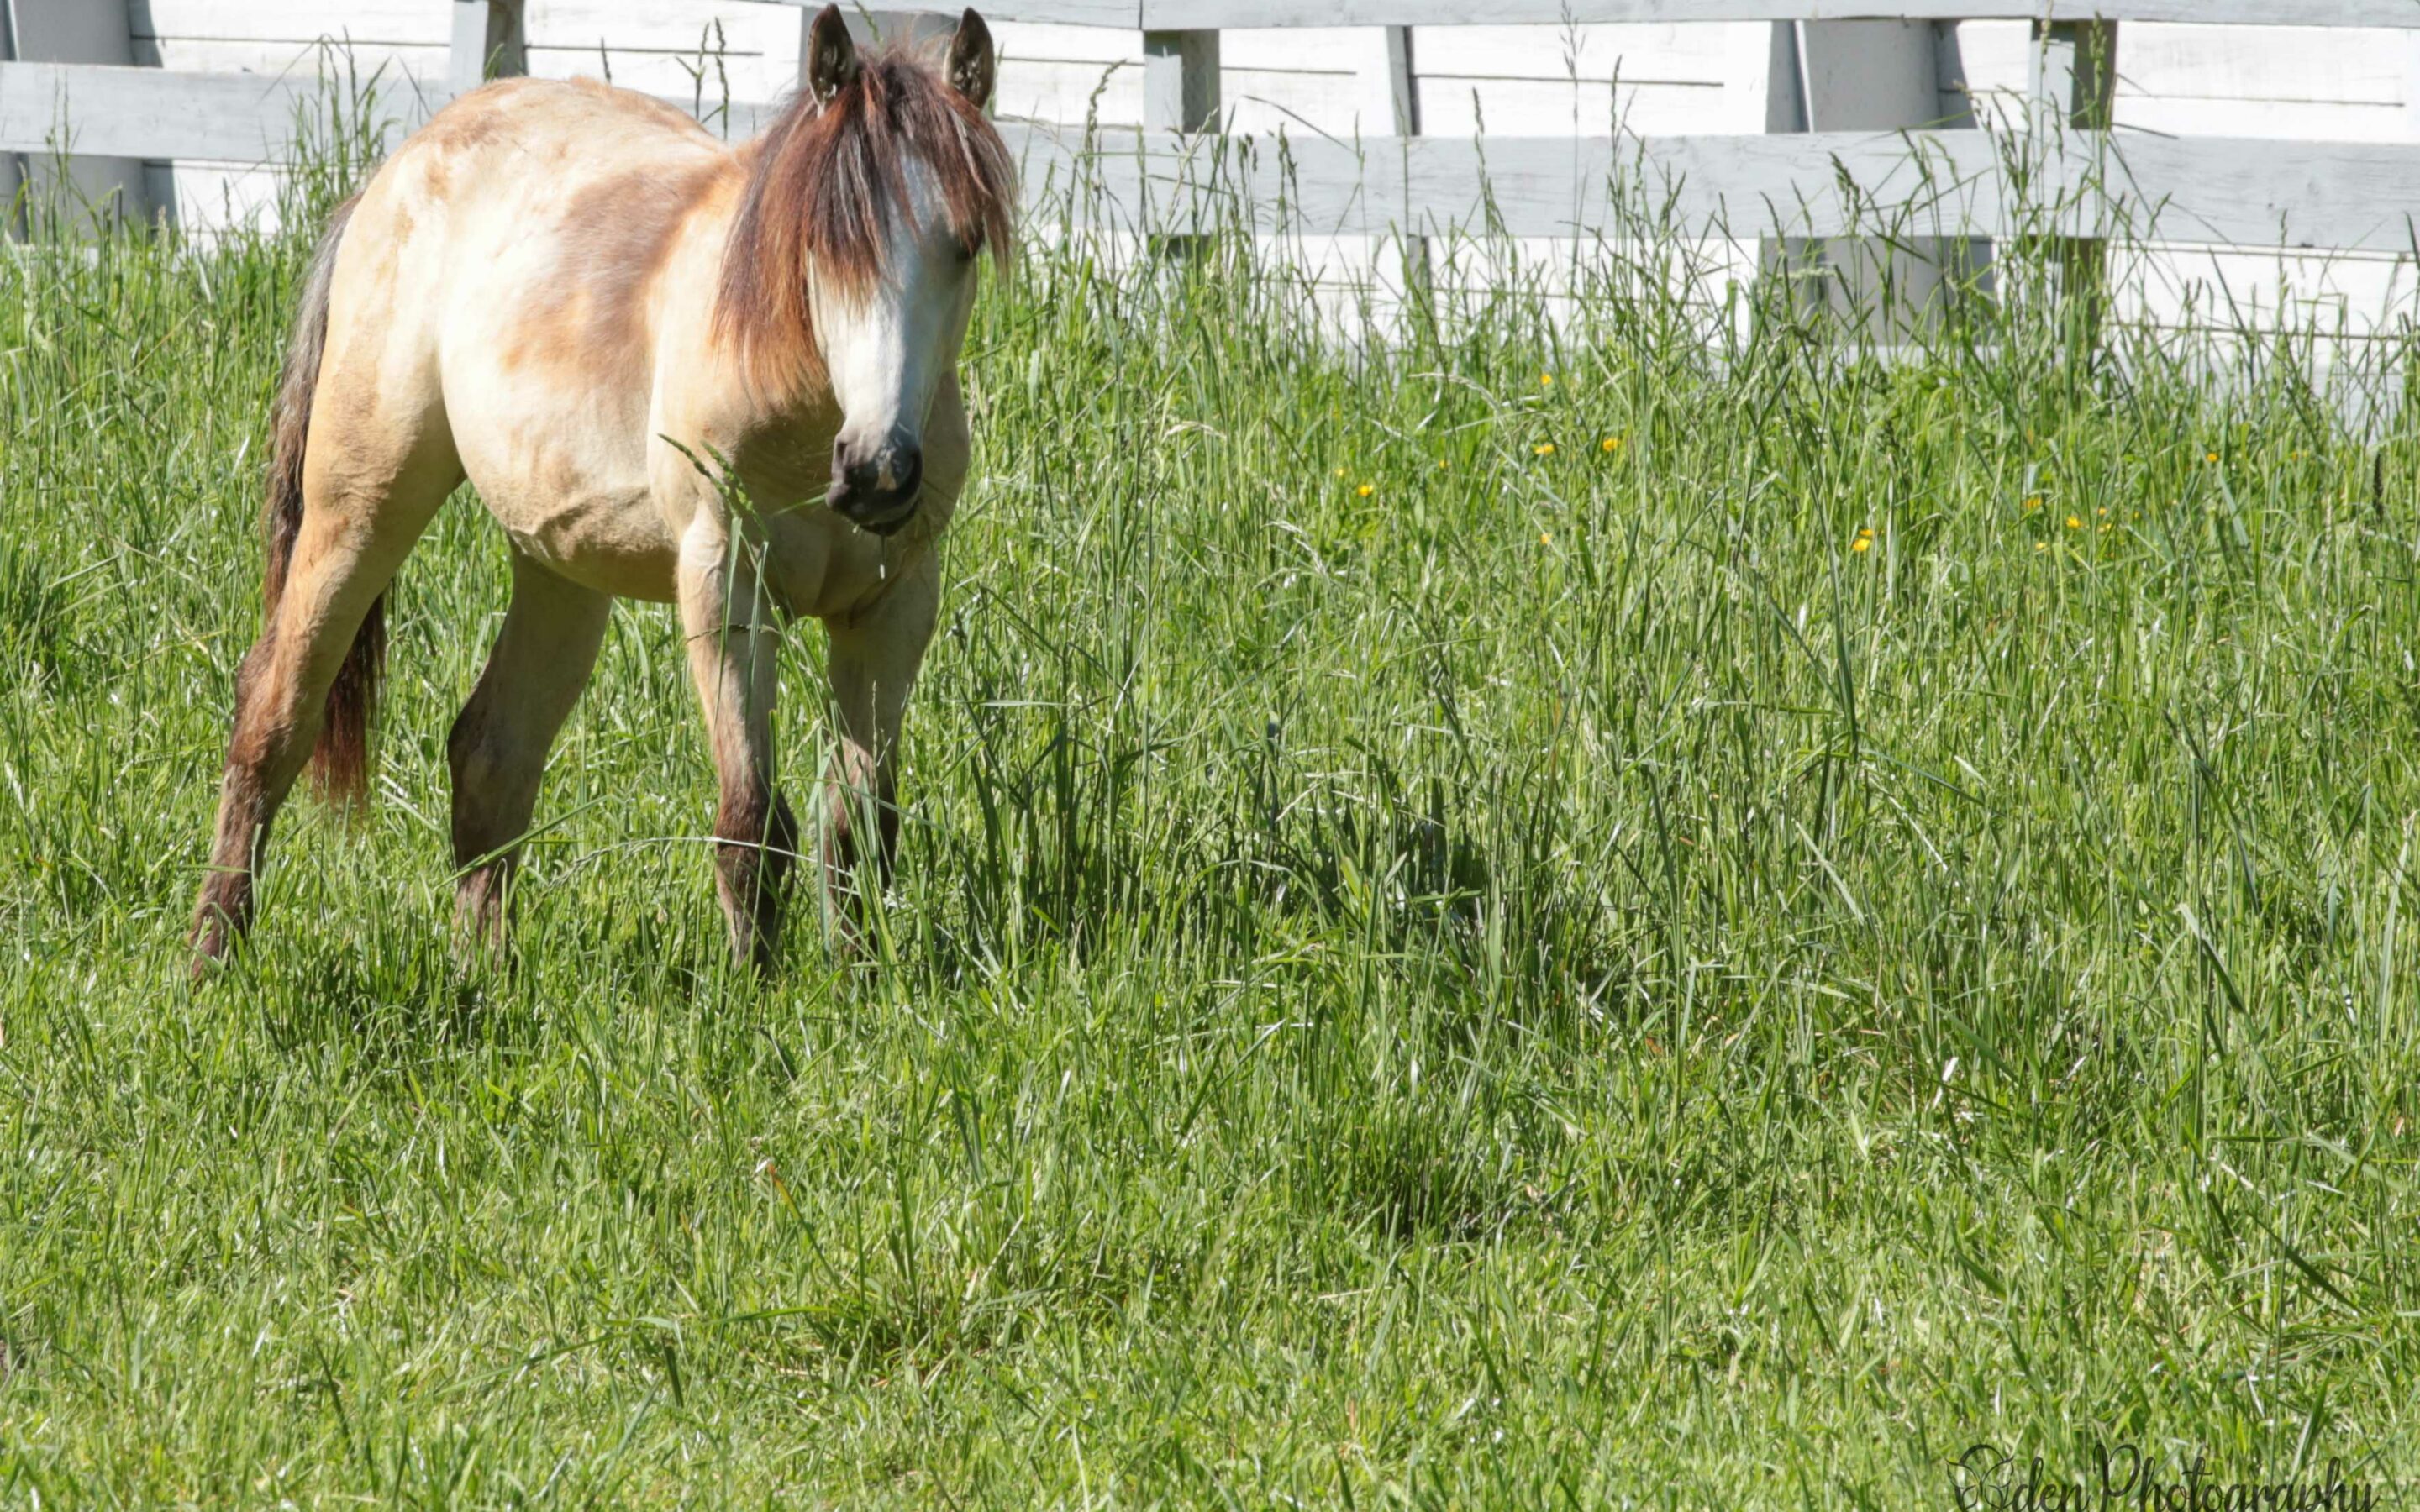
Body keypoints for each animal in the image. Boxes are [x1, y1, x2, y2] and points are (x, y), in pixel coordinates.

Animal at [188, 6, 1011, 972]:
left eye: (962, 245)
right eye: (825, 243)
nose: (879, 469)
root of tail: (395, 173)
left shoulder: (894, 607)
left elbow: (855, 825)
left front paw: (856, 983)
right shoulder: (725, 585)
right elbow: (750, 821)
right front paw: (757, 995)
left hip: (558, 566)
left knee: (492, 754)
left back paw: (483, 976)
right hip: (360, 512)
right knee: (274, 718)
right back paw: (211, 957)